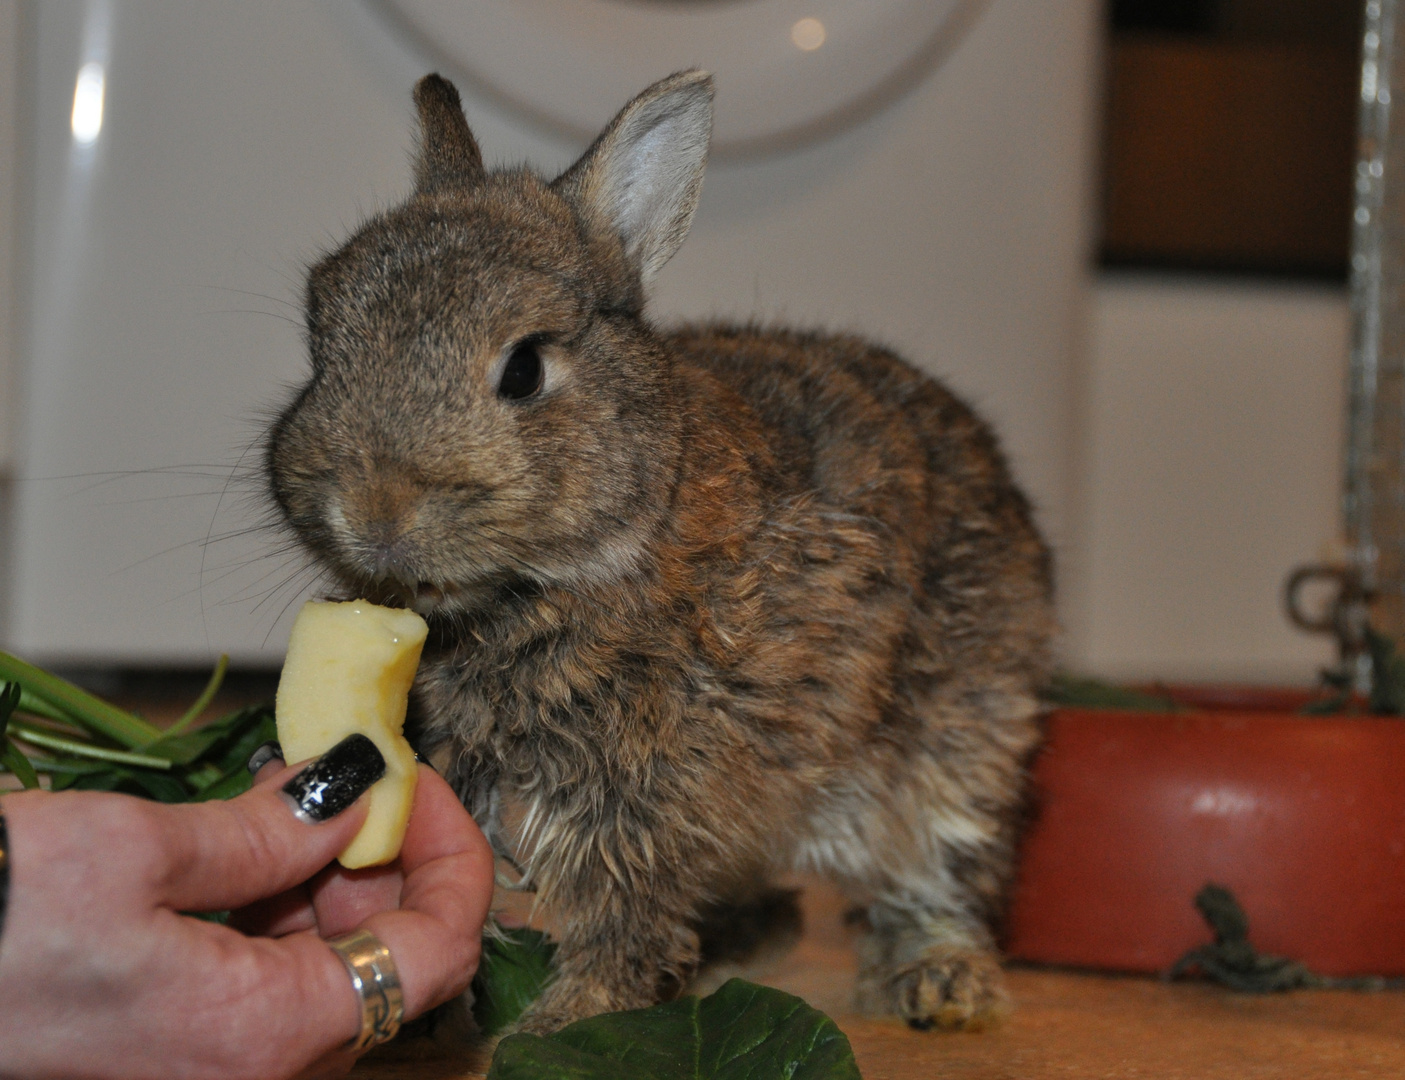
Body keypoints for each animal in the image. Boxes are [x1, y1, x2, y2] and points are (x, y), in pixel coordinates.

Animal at [268, 71, 1050, 1033]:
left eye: (523, 369)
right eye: (320, 346)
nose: (373, 512)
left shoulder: (653, 788)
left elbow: (623, 905)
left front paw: (567, 1019)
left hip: (957, 743)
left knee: (941, 872)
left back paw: (937, 983)